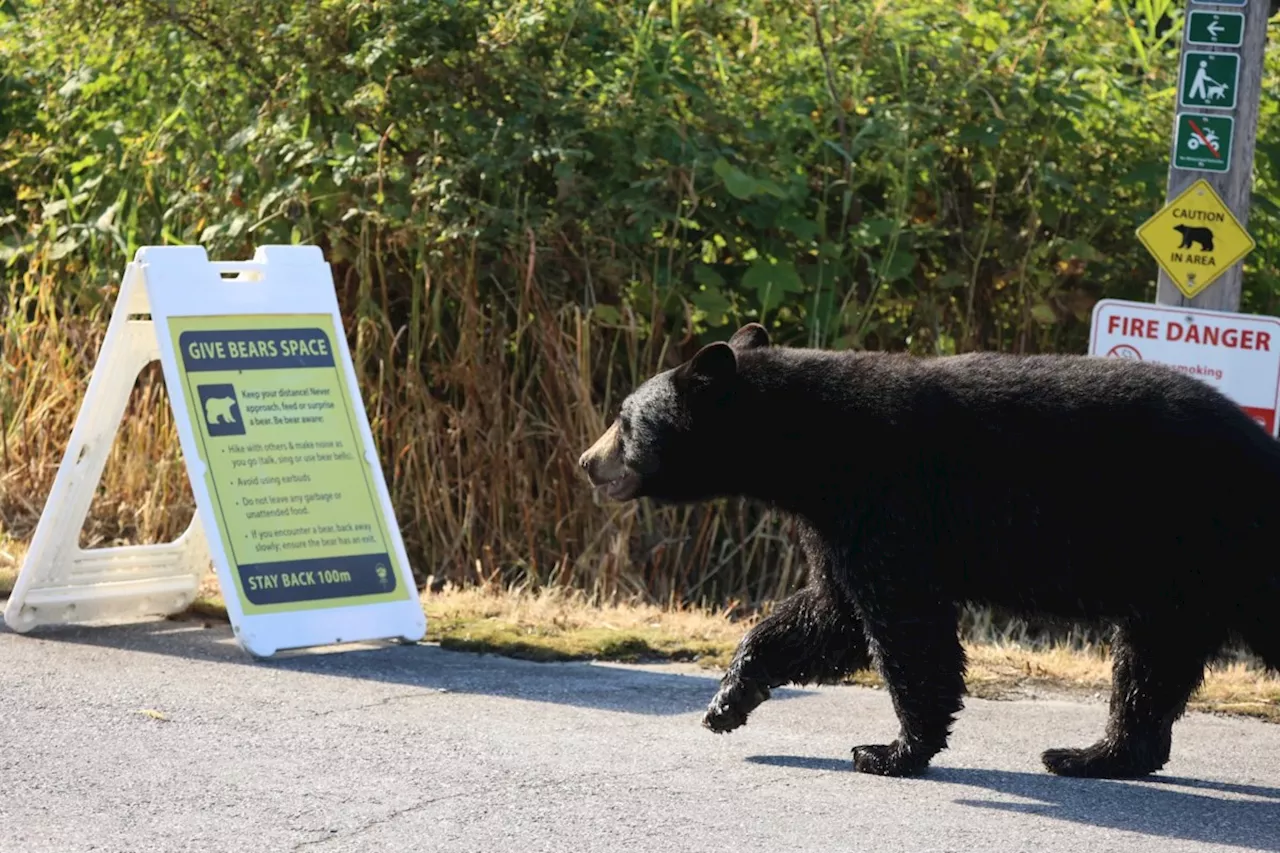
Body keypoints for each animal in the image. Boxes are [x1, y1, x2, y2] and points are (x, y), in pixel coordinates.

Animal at [583, 322, 1280, 773]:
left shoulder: (888, 500)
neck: (811, 446)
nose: (588, 462)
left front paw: (890, 750)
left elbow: (905, 626)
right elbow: (831, 615)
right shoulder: (835, 523)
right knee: (1149, 665)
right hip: (1179, 581)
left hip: (1221, 542)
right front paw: (729, 700)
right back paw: (1091, 755)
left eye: (624, 419)